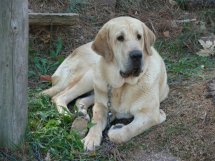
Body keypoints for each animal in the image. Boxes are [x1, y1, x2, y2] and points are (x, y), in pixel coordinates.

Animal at [42, 16, 170, 151]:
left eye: (139, 36)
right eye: (120, 38)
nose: (136, 55)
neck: (123, 85)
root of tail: (74, 51)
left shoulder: (150, 115)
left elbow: (124, 133)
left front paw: (116, 128)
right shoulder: (102, 107)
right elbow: (96, 122)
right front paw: (91, 139)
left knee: (80, 100)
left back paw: (82, 113)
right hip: (91, 76)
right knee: (59, 96)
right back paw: (67, 114)